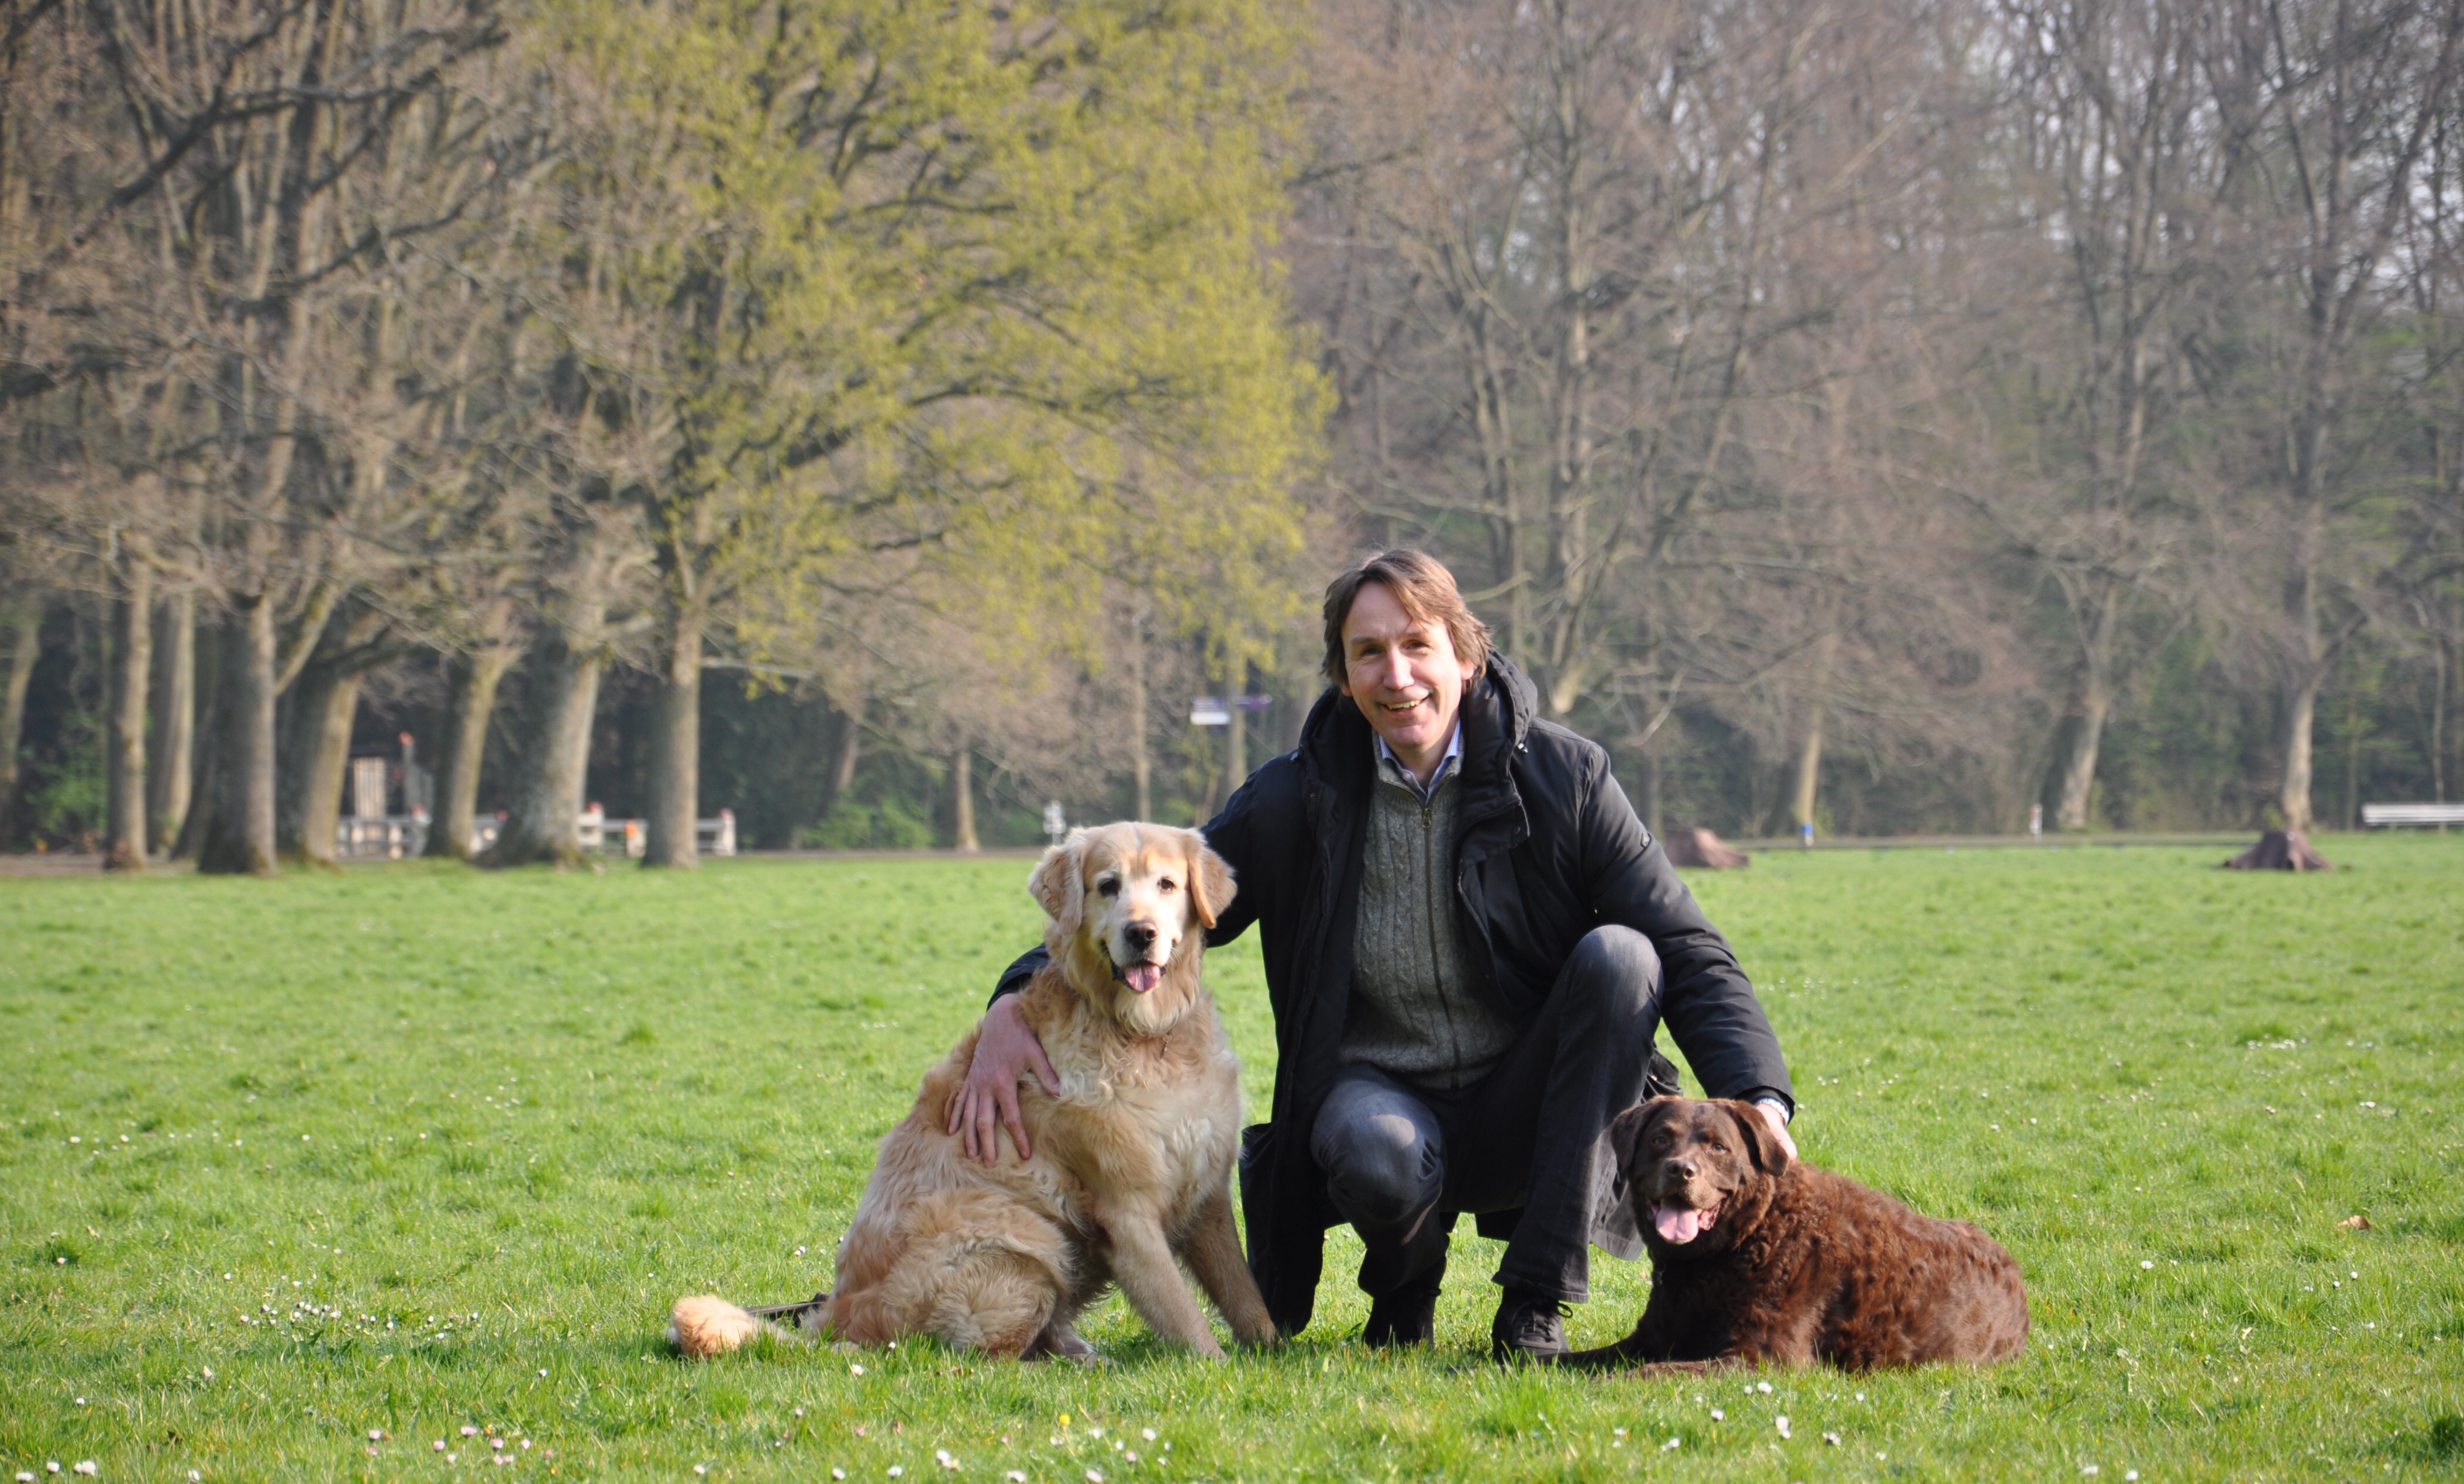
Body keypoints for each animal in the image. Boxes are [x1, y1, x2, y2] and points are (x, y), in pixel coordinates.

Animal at [669, 823, 1277, 1361]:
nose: (1140, 933)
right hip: (1027, 1240)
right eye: (1108, 885)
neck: (1145, 1035)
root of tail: (836, 1318)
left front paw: (1275, 1355)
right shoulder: (1126, 1211)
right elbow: (1181, 1311)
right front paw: (1217, 1369)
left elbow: (1244, 1292)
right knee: (981, 1357)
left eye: (1167, 885)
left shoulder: (1206, 1191)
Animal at [1555, 1096, 2028, 1371]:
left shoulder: (1763, 1359)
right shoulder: (1650, 1337)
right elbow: (1575, 1360)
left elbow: (1651, 1373)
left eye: (1718, 1147)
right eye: (1659, 1139)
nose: (1681, 1170)